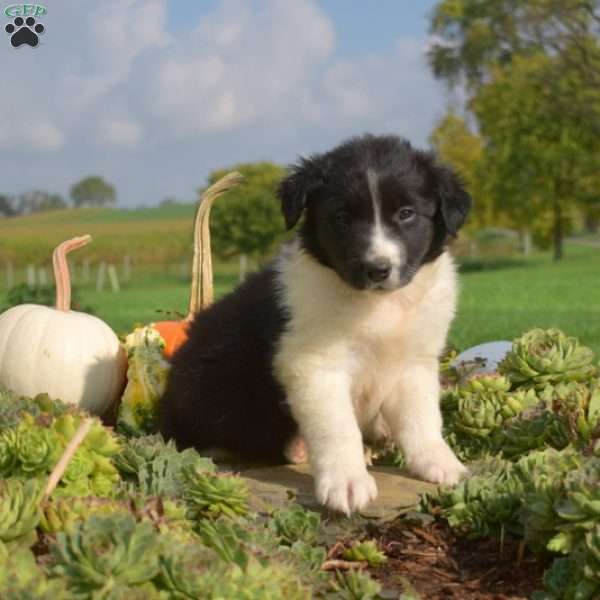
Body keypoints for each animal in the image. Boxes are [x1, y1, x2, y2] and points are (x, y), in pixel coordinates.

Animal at [159, 134, 474, 512]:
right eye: (342, 217)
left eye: (406, 213)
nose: (377, 269)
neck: (377, 305)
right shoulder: (315, 365)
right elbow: (337, 426)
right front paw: (346, 483)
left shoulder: (415, 361)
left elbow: (423, 418)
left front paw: (440, 463)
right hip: (210, 388)